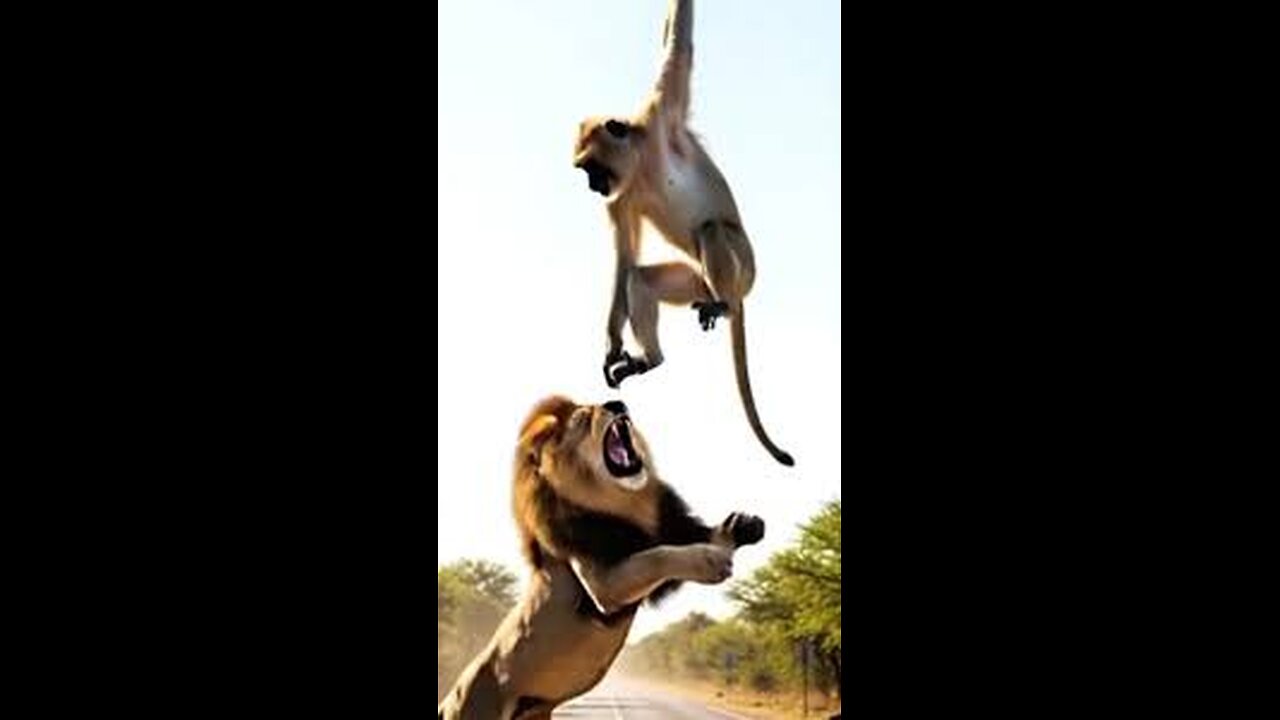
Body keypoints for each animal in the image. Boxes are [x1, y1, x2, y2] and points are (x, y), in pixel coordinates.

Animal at [437, 395, 765, 720]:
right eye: (583, 418)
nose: (617, 404)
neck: (629, 503)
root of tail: (448, 699)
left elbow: (692, 539)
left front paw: (742, 526)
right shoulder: (602, 585)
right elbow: (656, 556)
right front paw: (711, 560)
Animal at [571, 0, 794, 467]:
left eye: (592, 169)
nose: (591, 186)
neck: (642, 160)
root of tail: (733, 291)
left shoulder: (662, 112)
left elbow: (679, 46)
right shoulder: (621, 196)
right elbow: (624, 258)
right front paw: (611, 346)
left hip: (744, 268)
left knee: (711, 230)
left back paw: (722, 308)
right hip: (695, 279)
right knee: (641, 278)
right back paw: (651, 359)